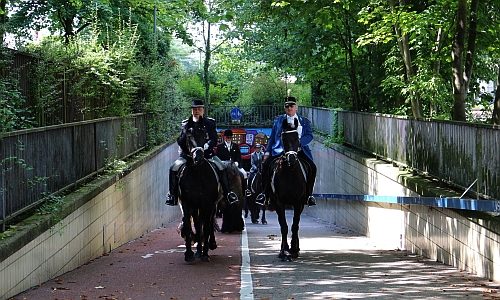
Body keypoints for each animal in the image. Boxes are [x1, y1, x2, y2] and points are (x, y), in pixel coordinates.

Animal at [270, 118, 308, 262]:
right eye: (283, 138)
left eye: (297, 138)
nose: (291, 160)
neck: (290, 173)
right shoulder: (279, 202)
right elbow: (284, 226)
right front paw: (283, 251)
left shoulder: (298, 202)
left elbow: (294, 225)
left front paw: (294, 249)